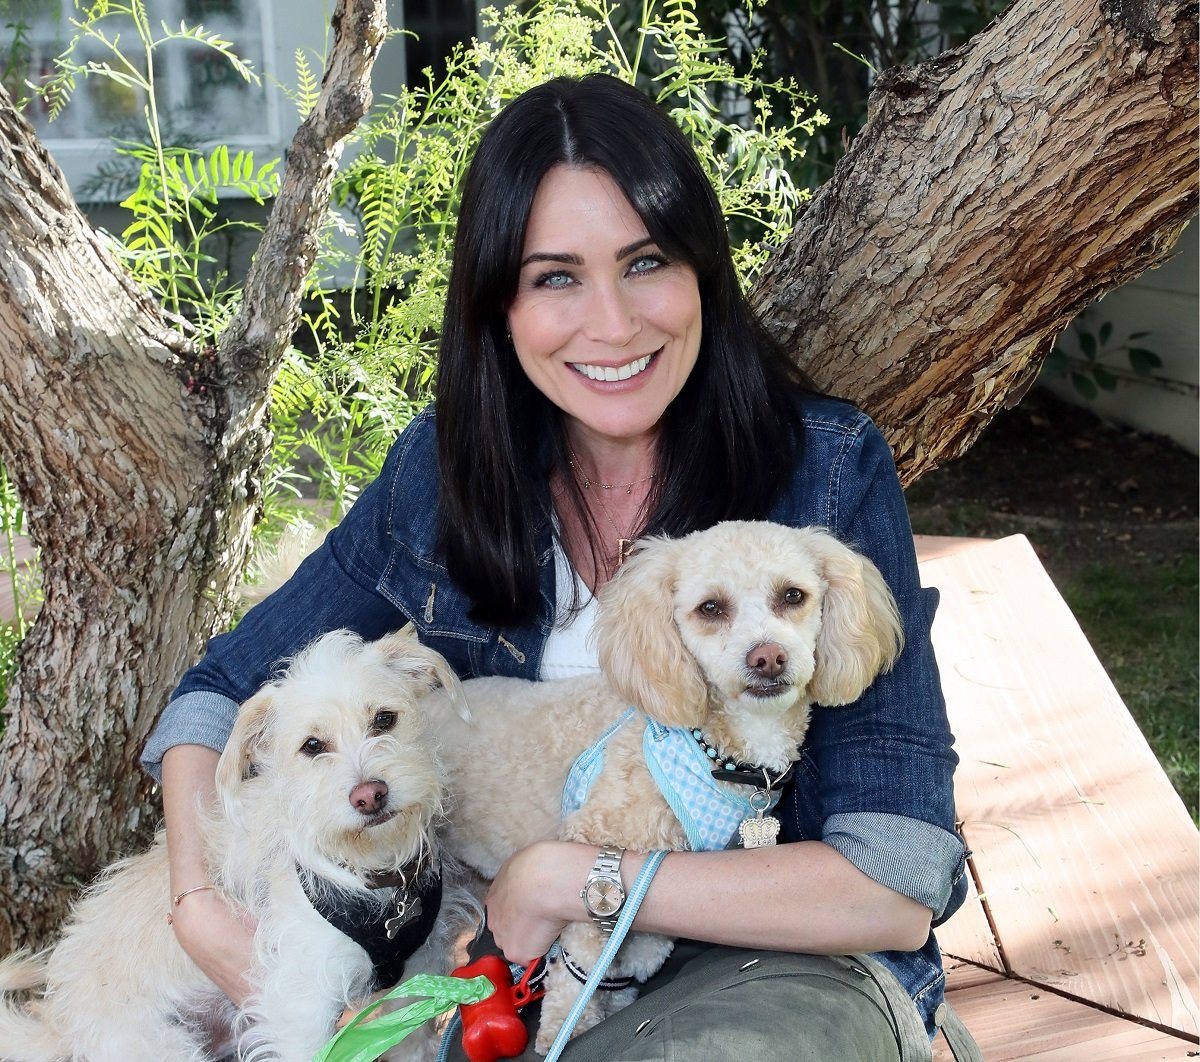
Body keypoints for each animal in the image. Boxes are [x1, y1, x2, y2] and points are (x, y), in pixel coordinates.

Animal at [0, 624, 465, 1056]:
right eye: (313, 745)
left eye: (384, 719)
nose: (369, 795)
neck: (377, 874)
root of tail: (59, 1022)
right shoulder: (300, 1006)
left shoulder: (416, 977)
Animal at [432, 518, 902, 1046]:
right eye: (710, 608)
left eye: (793, 595)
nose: (768, 657)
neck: (713, 747)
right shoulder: (589, 856)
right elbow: (575, 980)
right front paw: (563, 1034)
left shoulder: (653, 882)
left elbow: (636, 952)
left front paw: (616, 996)